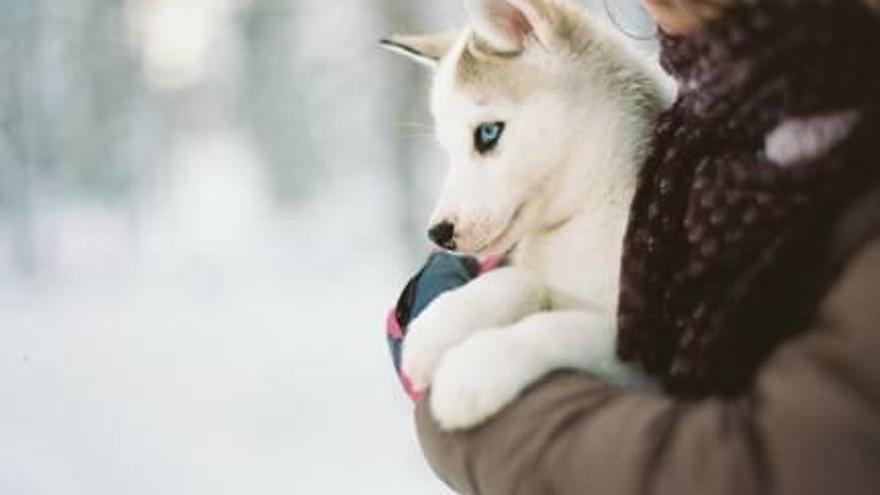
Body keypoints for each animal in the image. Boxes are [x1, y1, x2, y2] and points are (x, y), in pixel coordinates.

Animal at [384, 0, 668, 430]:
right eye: (446, 148)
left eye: (487, 133)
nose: (438, 233)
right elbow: (519, 279)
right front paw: (440, 325)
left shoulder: (660, 355)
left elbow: (572, 327)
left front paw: (476, 366)